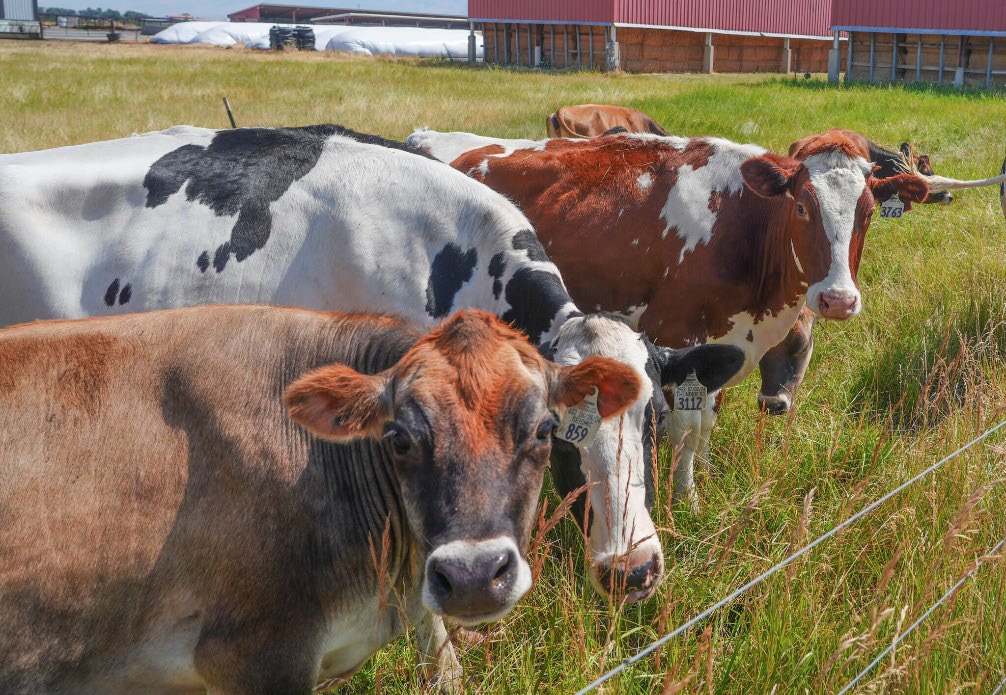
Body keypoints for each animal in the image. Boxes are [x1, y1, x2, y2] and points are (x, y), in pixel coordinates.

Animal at [407, 128, 929, 505]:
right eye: (802, 206)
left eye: (867, 213)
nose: (837, 299)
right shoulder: (674, 336)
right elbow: (683, 429)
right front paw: (683, 498)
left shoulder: (723, 344)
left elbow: (705, 425)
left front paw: (699, 484)